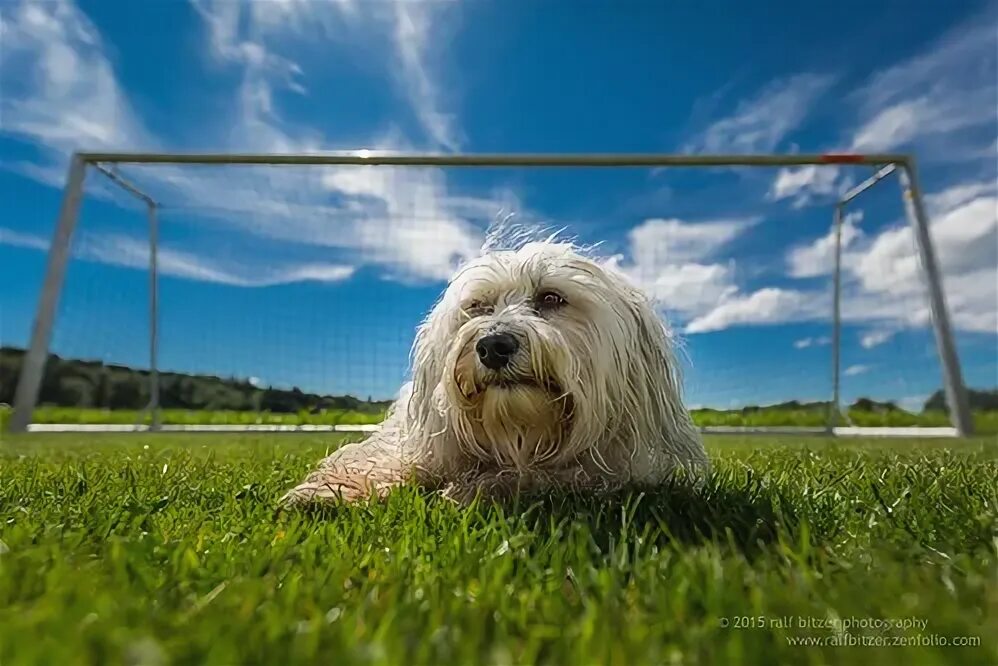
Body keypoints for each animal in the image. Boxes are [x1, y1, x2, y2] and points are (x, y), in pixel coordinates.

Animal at [284, 239, 712, 504]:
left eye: (551, 298)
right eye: (479, 306)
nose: (492, 345)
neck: (519, 433)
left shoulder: (612, 466)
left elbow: (559, 474)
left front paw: (480, 487)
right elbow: (392, 459)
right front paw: (330, 489)